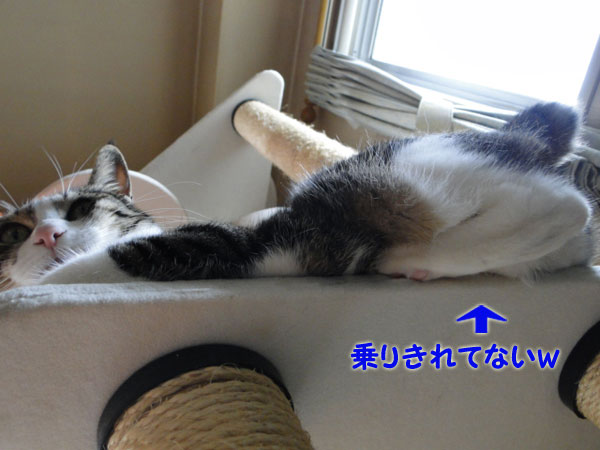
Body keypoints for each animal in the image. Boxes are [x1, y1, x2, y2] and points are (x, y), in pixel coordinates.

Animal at [0, 102, 594, 288]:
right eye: (13, 232)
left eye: (81, 207)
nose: (48, 234)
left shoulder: (214, 241)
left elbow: (96, 265)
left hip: (374, 181)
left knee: (569, 206)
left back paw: (406, 257)